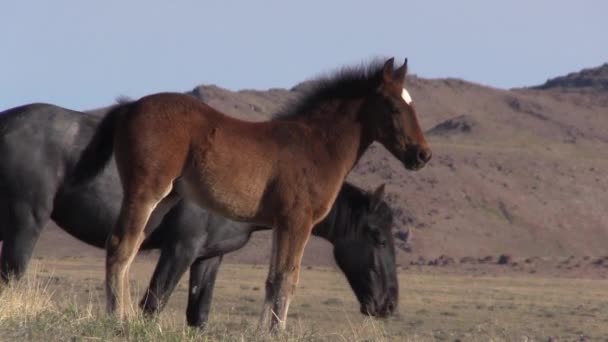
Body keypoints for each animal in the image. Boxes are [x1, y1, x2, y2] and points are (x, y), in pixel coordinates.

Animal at [0, 103, 400, 326]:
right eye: (378, 237)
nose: (389, 305)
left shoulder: (209, 259)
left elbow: (198, 315)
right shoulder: (180, 249)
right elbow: (153, 304)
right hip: (26, 221)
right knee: (13, 275)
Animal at [76, 56, 430, 332]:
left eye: (413, 105)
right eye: (394, 107)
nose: (422, 155)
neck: (317, 146)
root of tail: (129, 107)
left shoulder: (279, 224)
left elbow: (273, 278)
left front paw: (264, 331)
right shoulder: (297, 221)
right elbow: (287, 277)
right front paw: (276, 332)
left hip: (161, 200)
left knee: (131, 247)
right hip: (146, 191)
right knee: (120, 246)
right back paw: (118, 321)